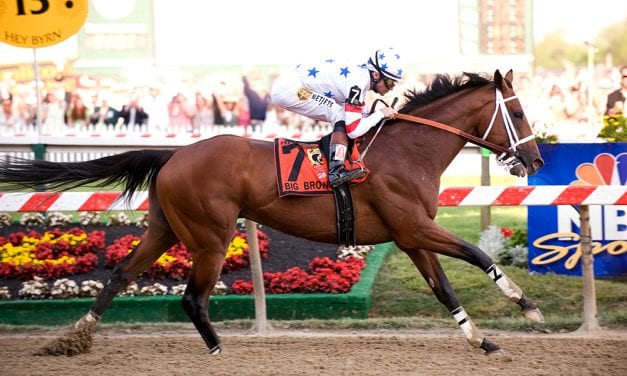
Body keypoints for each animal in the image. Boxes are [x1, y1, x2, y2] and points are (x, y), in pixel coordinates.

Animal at [1, 70, 544, 356]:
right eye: (517, 114)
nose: (537, 161)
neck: (407, 151)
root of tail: (173, 154)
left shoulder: (409, 236)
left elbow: (443, 287)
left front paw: (480, 339)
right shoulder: (416, 227)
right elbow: (476, 254)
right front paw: (526, 305)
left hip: (164, 229)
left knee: (119, 275)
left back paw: (76, 335)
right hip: (211, 237)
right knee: (192, 298)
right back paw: (217, 349)